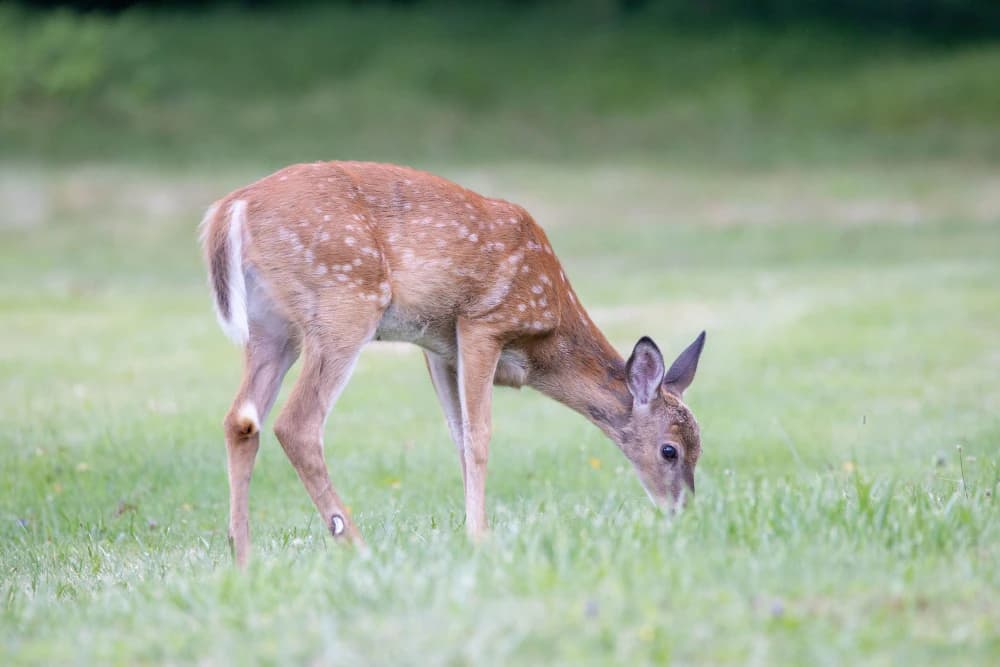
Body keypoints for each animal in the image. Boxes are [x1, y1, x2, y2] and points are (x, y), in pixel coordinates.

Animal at [200, 161, 706, 566]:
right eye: (670, 450)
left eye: (699, 448)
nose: (682, 511)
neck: (547, 336)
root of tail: (230, 209)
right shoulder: (483, 322)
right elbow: (479, 436)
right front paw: (482, 537)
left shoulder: (438, 349)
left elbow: (457, 435)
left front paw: (469, 530)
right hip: (344, 300)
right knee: (297, 423)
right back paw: (357, 545)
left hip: (273, 327)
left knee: (240, 420)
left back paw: (243, 557)